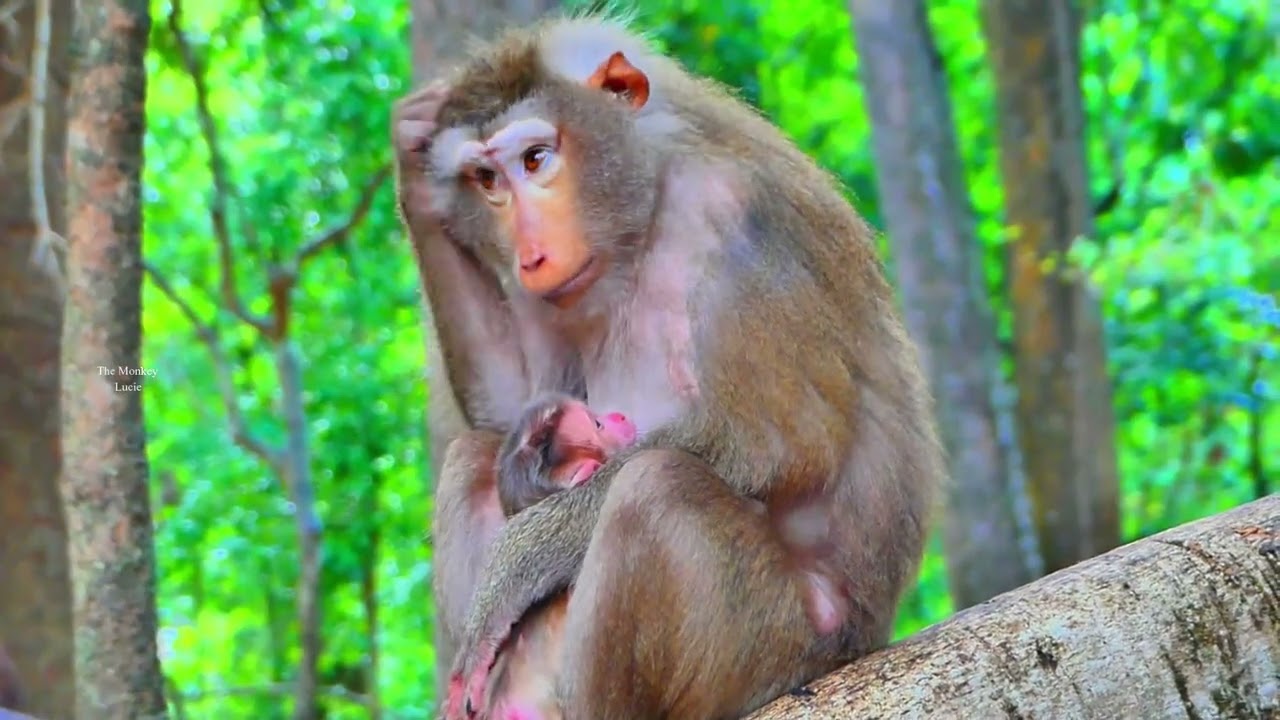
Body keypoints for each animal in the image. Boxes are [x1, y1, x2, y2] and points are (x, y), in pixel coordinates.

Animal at [394, 15, 943, 720]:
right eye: (487, 180)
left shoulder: (748, 220)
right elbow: (515, 405)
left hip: (778, 642)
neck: (650, 205)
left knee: (655, 488)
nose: (530, 257)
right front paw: (411, 154)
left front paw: (516, 561)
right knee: (478, 455)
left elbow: (776, 445)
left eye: (536, 159)